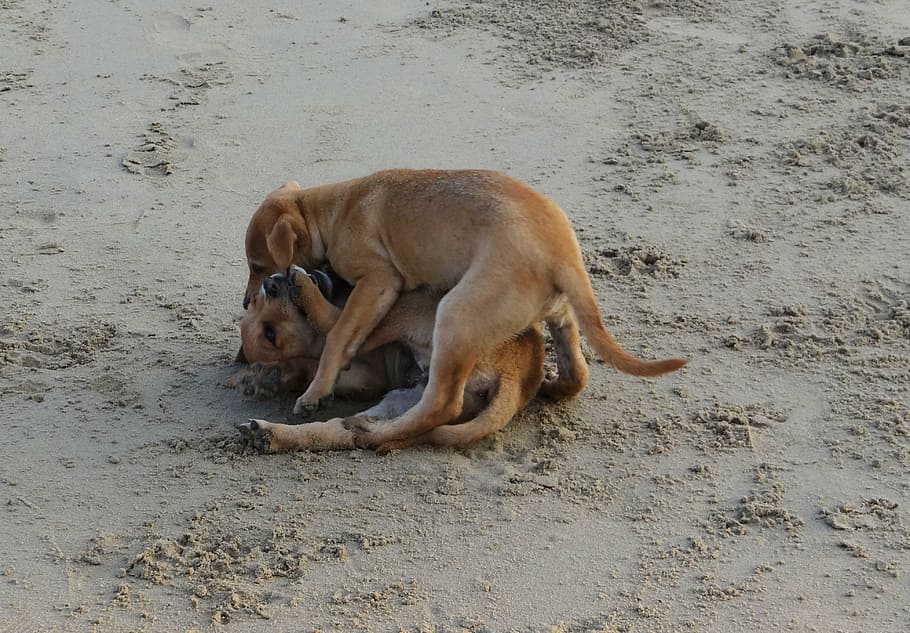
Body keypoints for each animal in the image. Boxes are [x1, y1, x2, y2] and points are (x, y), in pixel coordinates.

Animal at [233, 266, 568, 450]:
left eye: (258, 299)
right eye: (270, 335)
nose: (270, 284)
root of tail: (520, 373)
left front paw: (275, 375)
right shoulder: (367, 376)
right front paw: (272, 376)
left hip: (408, 305)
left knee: (336, 321)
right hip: (406, 379)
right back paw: (274, 434)